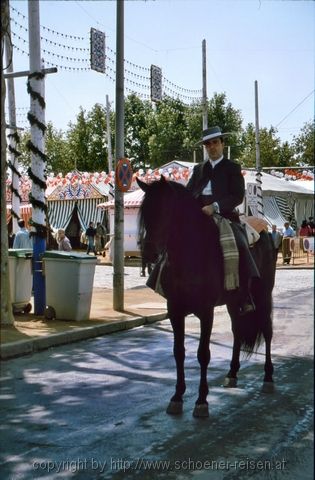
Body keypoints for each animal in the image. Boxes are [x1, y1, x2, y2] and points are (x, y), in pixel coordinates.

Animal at [138, 176, 276, 416]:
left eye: (165, 210)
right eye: (144, 212)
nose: (148, 254)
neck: (191, 254)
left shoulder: (206, 311)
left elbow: (203, 353)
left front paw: (201, 401)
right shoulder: (175, 310)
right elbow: (179, 351)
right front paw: (177, 396)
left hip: (264, 294)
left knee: (267, 330)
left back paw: (268, 377)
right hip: (234, 301)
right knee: (237, 331)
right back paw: (232, 373)